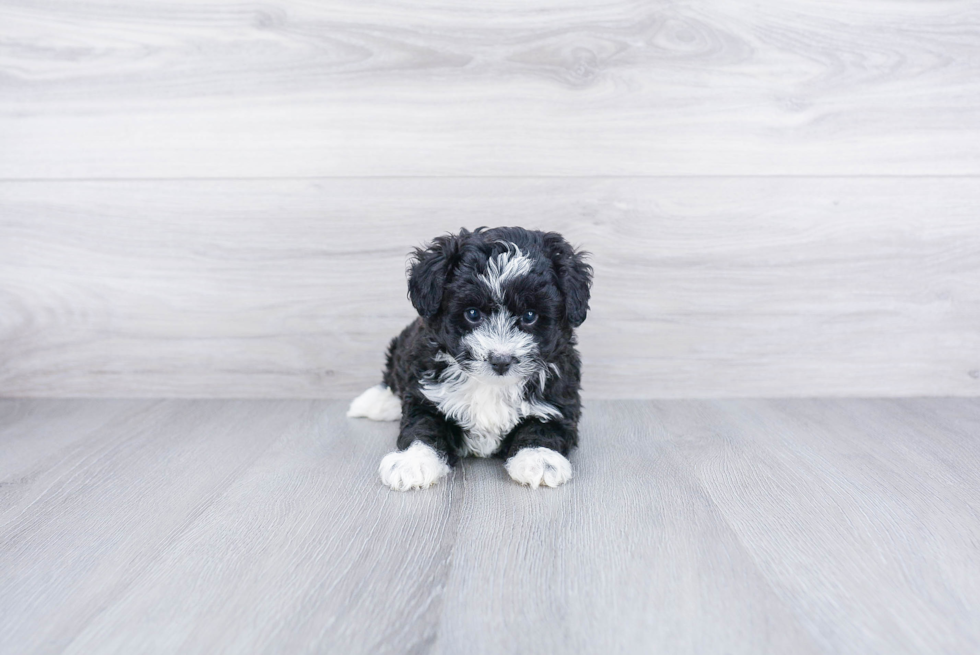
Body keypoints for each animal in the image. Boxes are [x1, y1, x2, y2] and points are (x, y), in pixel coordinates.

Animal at [346, 228, 588, 490]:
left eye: (530, 316)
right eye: (472, 314)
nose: (501, 360)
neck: (490, 386)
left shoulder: (558, 400)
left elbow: (544, 428)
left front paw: (540, 460)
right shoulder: (427, 394)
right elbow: (423, 427)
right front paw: (412, 461)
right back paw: (376, 402)